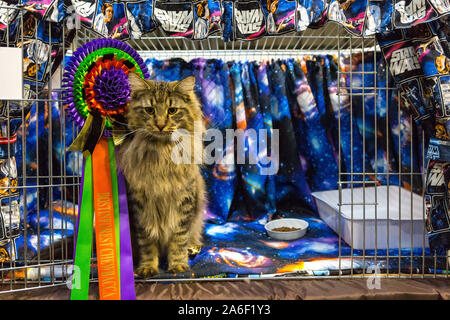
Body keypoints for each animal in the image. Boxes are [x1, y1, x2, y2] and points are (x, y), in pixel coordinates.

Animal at [117, 73, 207, 278]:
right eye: (149, 110)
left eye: (172, 110)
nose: (159, 124)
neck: (162, 154)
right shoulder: (141, 206)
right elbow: (147, 244)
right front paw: (147, 267)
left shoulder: (184, 203)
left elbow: (179, 241)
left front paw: (178, 265)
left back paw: (193, 248)